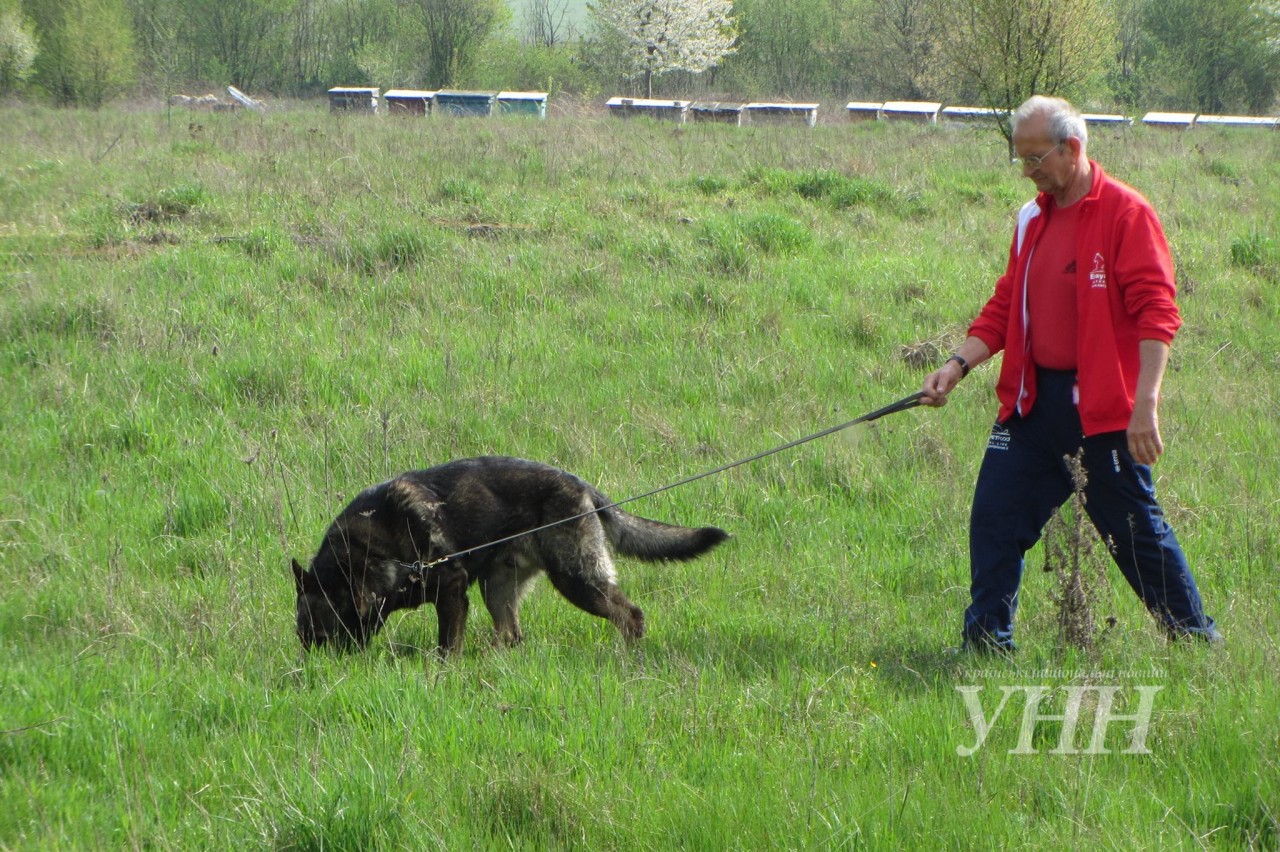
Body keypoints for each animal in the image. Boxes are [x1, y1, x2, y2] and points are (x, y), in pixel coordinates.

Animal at [293, 455, 732, 652]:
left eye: (323, 635)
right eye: (303, 637)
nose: (317, 672)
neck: (372, 553)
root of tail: (581, 486)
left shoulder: (452, 593)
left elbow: (446, 647)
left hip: (577, 580)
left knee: (630, 614)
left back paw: (630, 655)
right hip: (498, 589)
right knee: (512, 635)